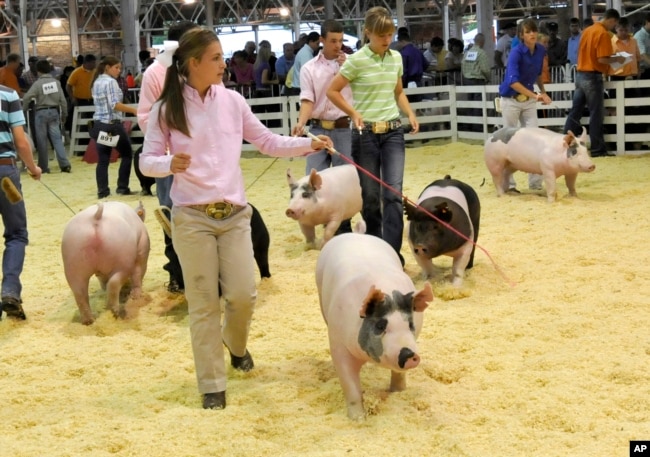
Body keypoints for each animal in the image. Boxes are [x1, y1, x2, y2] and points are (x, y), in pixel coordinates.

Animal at [314, 233, 430, 418]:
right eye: (381, 326)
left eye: (410, 324)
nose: (409, 354)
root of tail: (355, 234)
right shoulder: (339, 346)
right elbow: (350, 386)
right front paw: (358, 419)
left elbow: (398, 374)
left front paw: (398, 392)